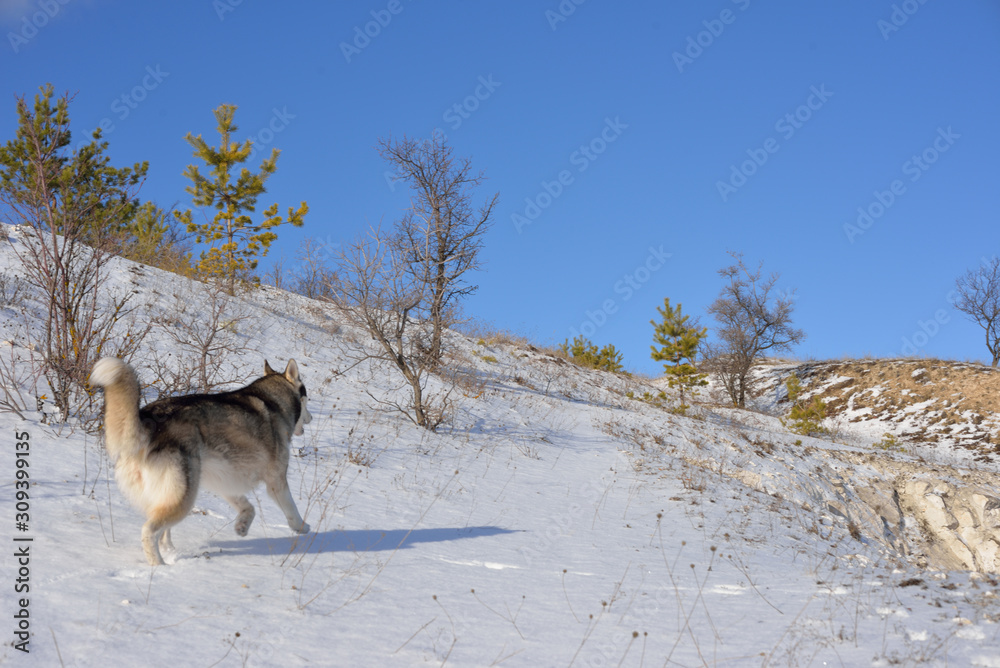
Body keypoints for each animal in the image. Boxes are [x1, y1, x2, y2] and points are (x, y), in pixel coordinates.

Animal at [89, 358, 313, 566]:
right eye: (306, 399)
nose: (310, 418)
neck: (273, 400)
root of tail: (148, 417)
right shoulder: (276, 480)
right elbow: (291, 509)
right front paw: (303, 527)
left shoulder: (224, 479)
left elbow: (248, 507)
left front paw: (242, 526)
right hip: (184, 496)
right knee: (149, 531)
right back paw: (160, 565)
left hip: (170, 495)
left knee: (162, 532)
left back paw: (170, 552)